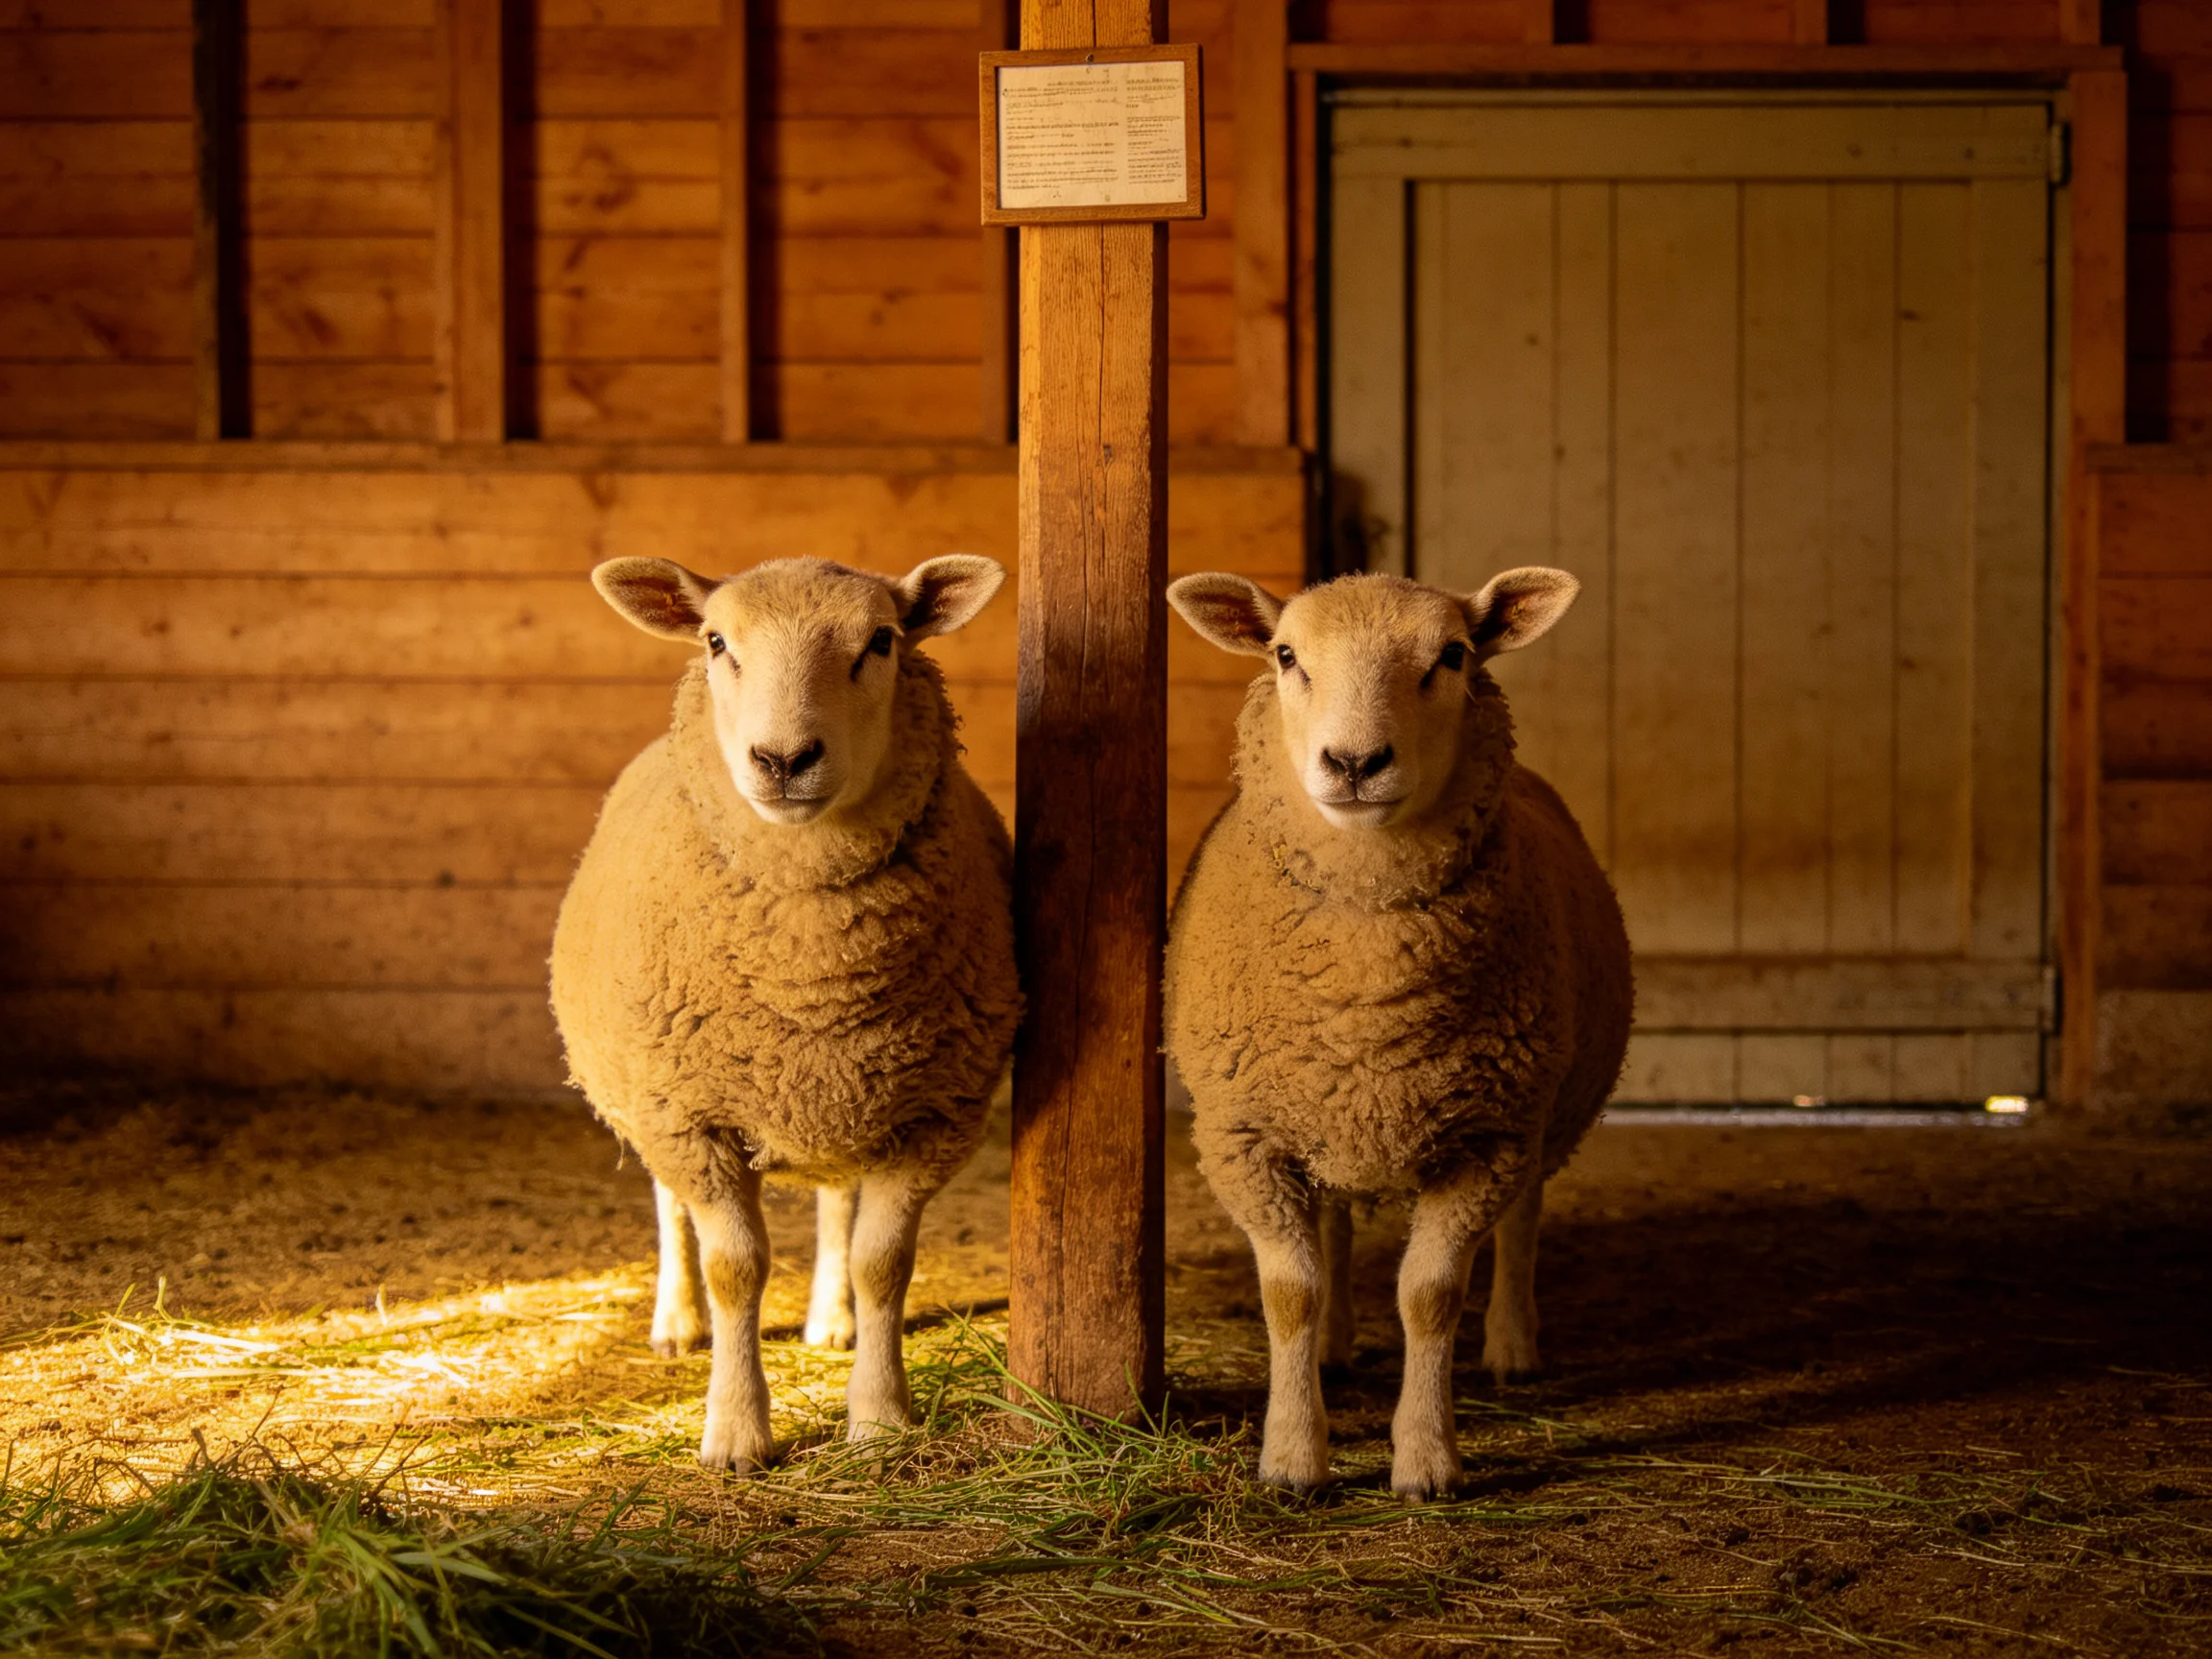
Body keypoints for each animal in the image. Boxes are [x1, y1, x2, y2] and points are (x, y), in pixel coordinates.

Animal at [550, 554, 1023, 1473]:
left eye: (882, 640)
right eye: (715, 642)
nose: (783, 758)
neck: (812, 971)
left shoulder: (932, 1112)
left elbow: (885, 1263)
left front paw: (879, 1418)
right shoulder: (688, 1113)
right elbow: (735, 1267)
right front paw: (736, 1433)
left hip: (847, 1096)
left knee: (837, 1201)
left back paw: (831, 1320)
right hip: (647, 1089)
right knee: (668, 1206)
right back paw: (676, 1323)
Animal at [1162, 567, 1632, 1500]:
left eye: (1451, 655)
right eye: (1285, 655)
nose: (1353, 763)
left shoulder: (1490, 1137)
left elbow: (1431, 1295)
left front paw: (1426, 1460)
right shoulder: (1249, 1137)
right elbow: (1291, 1292)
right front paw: (1293, 1459)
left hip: (1540, 1117)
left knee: (1522, 1221)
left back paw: (1512, 1345)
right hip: (1331, 1123)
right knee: (1336, 1230)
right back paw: (1336, 1347)